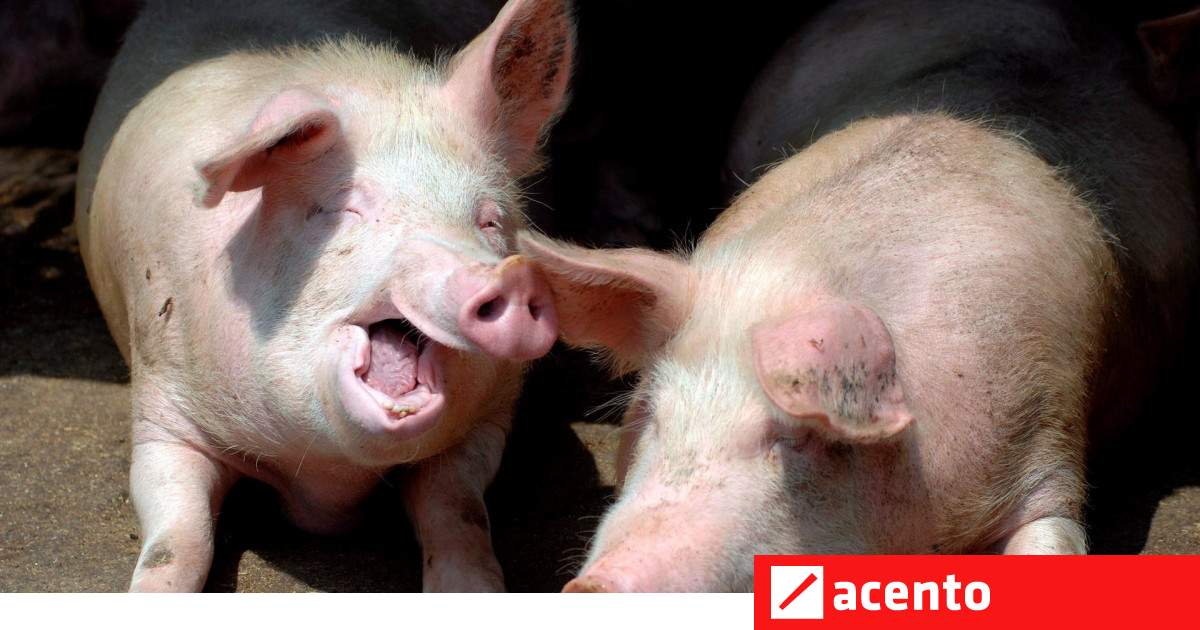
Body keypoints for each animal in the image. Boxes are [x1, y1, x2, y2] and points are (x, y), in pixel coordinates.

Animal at [74, 0, 573, 592]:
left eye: (489, 220)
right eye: (345, 208)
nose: (510, 279)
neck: (328, 482)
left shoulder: (489, 419)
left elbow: (457, 507)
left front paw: (473, 587)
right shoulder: (164, 407)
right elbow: (180, 536)